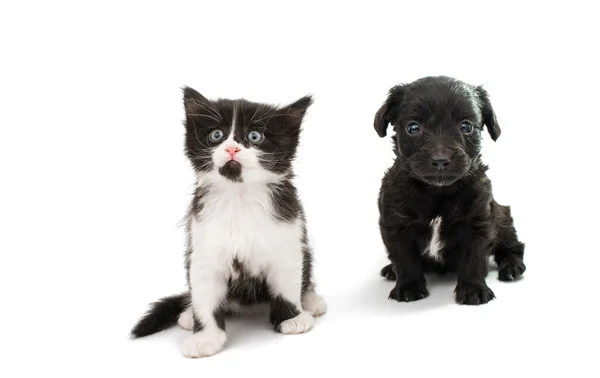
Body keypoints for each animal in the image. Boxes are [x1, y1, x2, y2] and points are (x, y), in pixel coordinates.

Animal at [132, 87, 328, 358]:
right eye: (217, 135)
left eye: (255, 136)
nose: (232, 149)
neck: (239, 196)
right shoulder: (203, 249)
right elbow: (204, 296)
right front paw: (205, 337)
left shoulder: (288, 237)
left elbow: (287, 283)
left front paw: (292, 318)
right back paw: (188, 314)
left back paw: (310, 300)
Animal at [376, 75, 524, 306]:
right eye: (413, 128)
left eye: (466, 127)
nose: (440, 160)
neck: (437, 192)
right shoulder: (395, 224)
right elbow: (404, 259)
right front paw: (408, 287)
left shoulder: (478, 222)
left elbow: (474, 258)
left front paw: (473, 289)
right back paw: (391, 270)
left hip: (503, 217)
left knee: (513, 246)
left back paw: (512, 267)